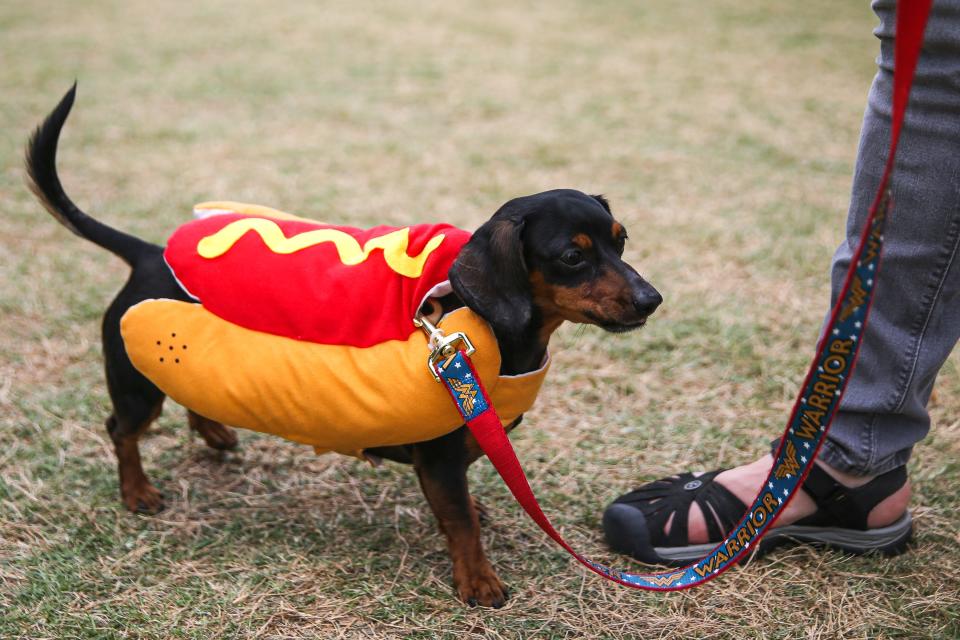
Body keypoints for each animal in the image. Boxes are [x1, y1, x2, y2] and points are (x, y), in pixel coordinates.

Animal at [28, 86, 660, 608]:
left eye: (621, 240)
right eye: (573, 256)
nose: (652, 299)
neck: (486, 326)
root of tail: (147, 253)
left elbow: (463, 504)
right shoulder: (438, 459)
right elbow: (460, 524)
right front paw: (478, 581)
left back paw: (212, 431)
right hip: (134, 385)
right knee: (122, 431)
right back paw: (137, 491)